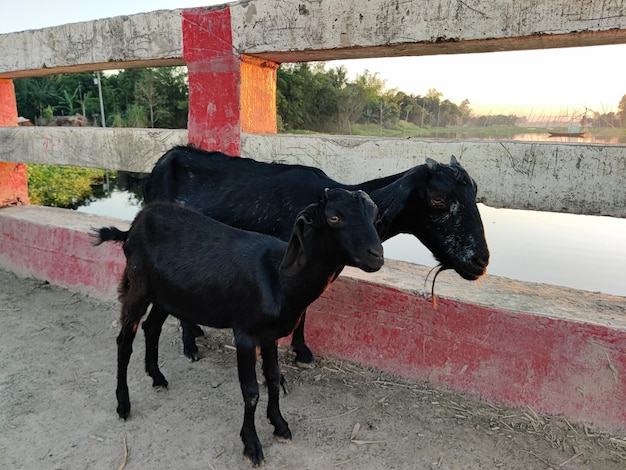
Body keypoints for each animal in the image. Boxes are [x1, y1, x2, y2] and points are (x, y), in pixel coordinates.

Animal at [94, 188, 382, 466]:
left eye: (374, 213)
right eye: (334, 217)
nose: (376, 255)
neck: (280, 279)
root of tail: (135, 223)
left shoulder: (269, 335)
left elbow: (274, 377)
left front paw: (280, 426)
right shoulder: (245, 332)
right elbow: (251, 391)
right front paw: (252, 446)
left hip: (167, 295)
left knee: (151, 328)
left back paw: (157, 377)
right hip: (138, 285)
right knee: (124, 341)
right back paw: (123, 405)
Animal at [144, 146, 490, 364]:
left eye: (475, 195)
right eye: (437, 199)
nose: (481, 261)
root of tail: (164, 159)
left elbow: (306, 310)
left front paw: (302, 353)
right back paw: (190, 344)